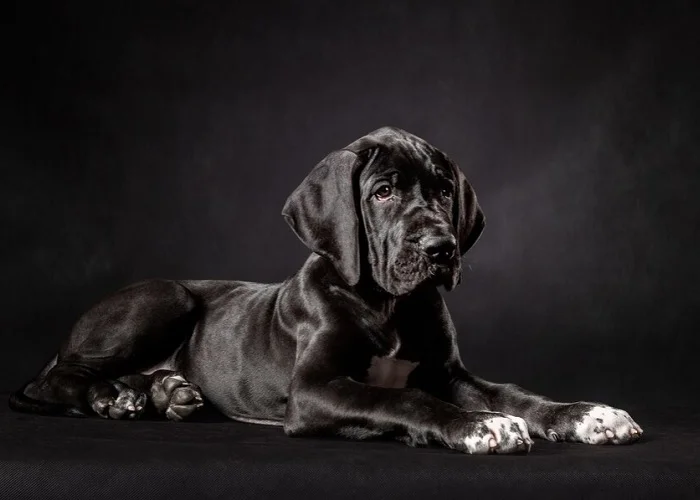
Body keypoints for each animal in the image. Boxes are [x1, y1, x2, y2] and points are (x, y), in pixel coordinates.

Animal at [12, 126, 644, 454]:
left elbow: (512, 392)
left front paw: (585, 414)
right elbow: (399, 399)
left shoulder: (449, 372)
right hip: (168, 296)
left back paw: (164, 393)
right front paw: (478, 425)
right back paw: (112, 397)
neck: (387, 306)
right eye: (384, 191)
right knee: (54, 377)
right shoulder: (315, 391)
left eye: (444, 191)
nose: (442, 249)